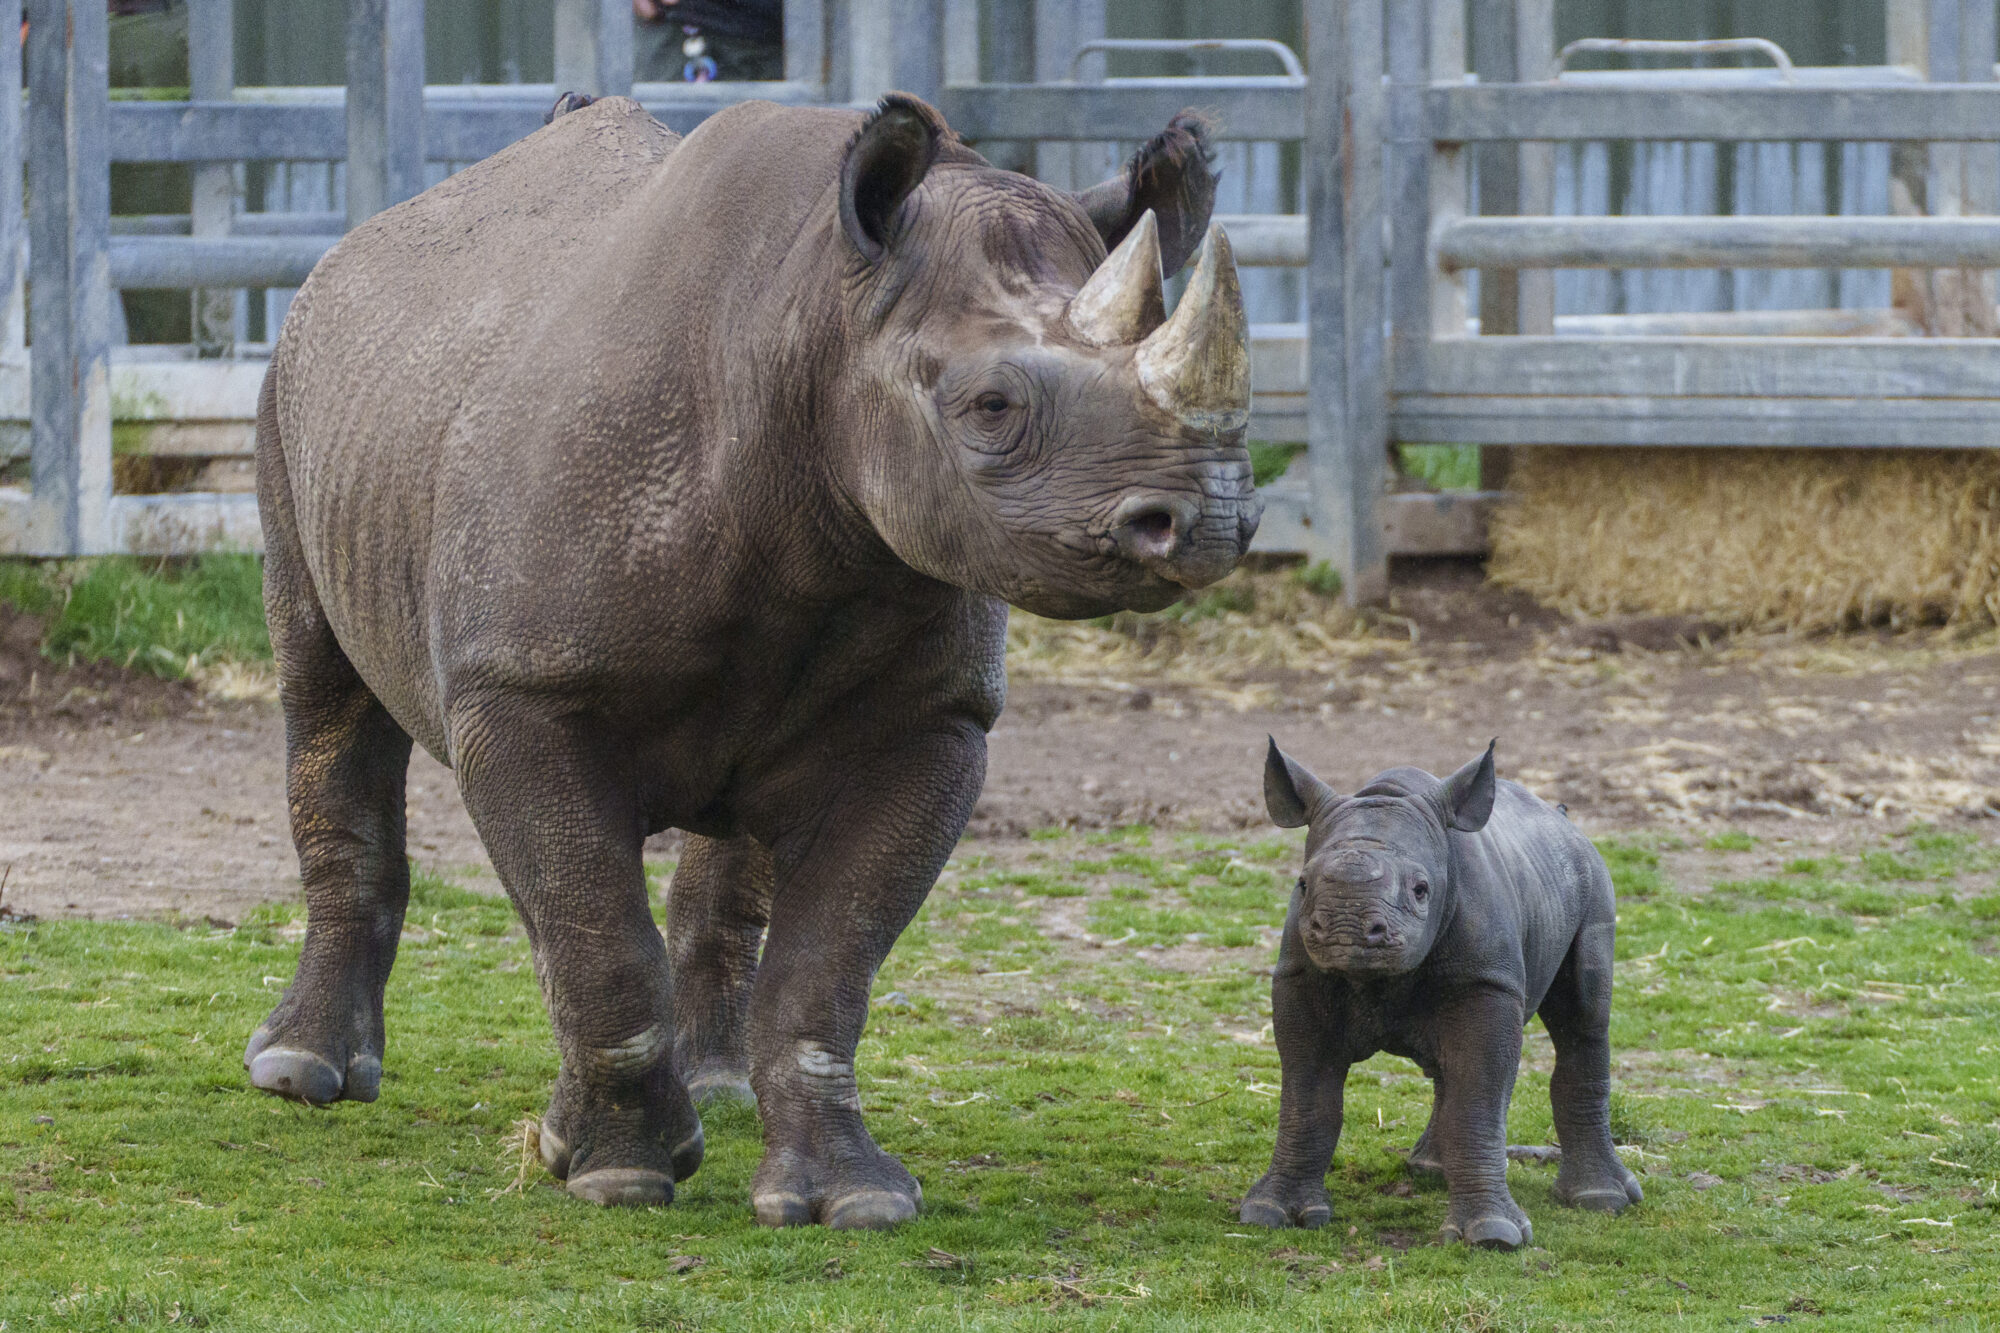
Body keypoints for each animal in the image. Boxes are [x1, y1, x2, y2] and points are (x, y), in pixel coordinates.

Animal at [243, 92, 1259, 1230]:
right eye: (991, 408)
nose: (1211, 517)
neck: (814, 316)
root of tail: (364, 240)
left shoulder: (932, 717)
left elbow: (829, 964)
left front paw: (850, 1200)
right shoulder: (518, 689)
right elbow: (594, 934)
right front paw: (617, 1174)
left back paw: (712, 1088)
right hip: (292, 388)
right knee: (324, 691)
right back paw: (302, 1073)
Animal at [1241, 740, 1642, 1249]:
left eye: (1421, 890)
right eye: (1302, 883)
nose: (1346, 931)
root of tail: (1564, 821)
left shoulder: (1487, 979)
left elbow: (1479, 1095)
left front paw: (1492, 1236)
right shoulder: (1300, 975)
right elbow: (1306, 1097)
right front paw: (1270, 1213)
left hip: (1591, 879)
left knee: (1583, 1021)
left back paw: (1601, 1200)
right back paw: (1431, 1170)